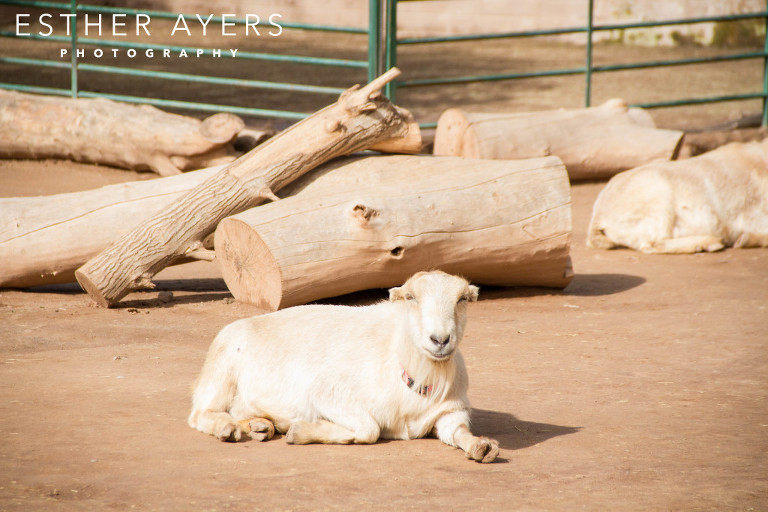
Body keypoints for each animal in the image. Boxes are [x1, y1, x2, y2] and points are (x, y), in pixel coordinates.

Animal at [189, 272, 500, 464]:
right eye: (411, 297)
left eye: (462, 299)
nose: (440, 339)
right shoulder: (327, 391)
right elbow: (369, 429)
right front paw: (302, 431)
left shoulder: (450, 411)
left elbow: (457, 432)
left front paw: (482, 447)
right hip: (222, 366)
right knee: (200, 413)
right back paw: (228, 429)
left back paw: (260, 425)